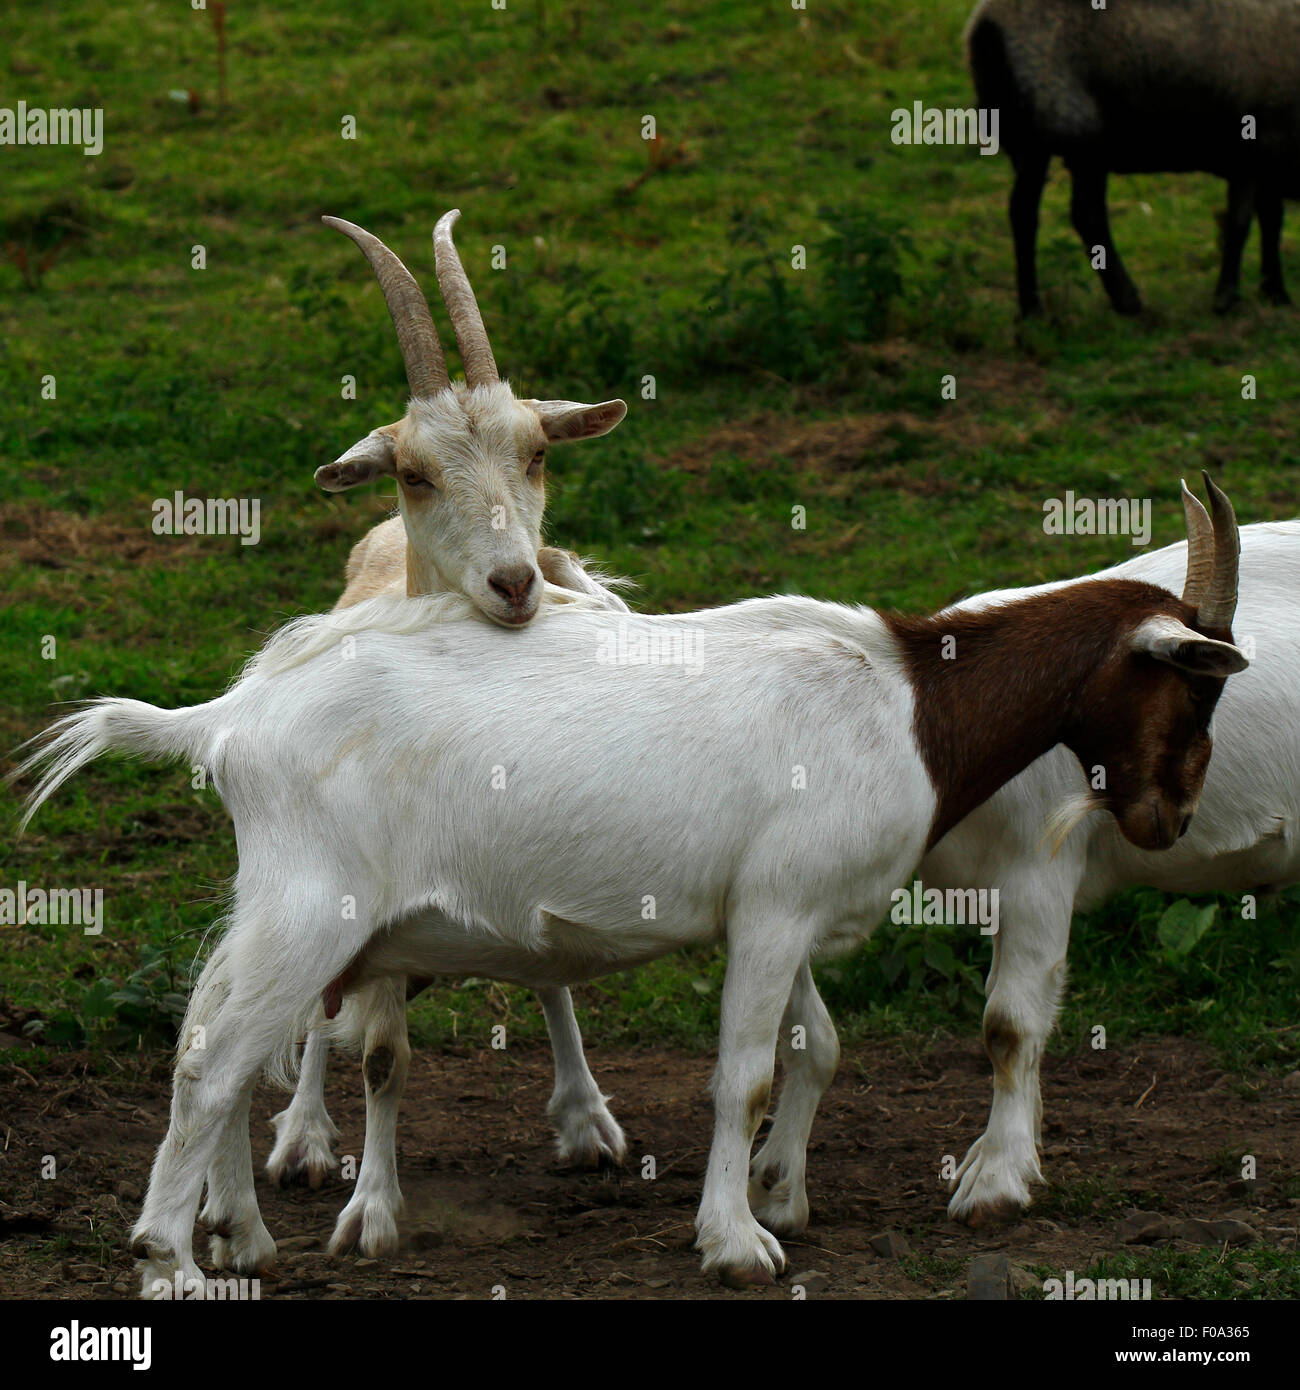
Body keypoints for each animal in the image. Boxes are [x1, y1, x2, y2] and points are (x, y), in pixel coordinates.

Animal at [17, 480, 1251, 1289]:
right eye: (1194, 689)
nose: (1168, 817)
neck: (912, 703)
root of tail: (230, 719)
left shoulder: (778, 908)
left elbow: (816, 1045)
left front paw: (780, 1193)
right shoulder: (777, 907)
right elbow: (742, 1075)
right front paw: (735, 1242)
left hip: (283, 903)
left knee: (209, 1029)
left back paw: (241, 1235)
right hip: (314, 907)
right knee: (213, 1057)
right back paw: (170, 1259)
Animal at [266, 208, 634, 1228]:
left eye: (539, 451)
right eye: (415, 473)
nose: (515, 582)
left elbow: (553, 969)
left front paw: (585, 1118)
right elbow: (381, 1055)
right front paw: (369, 1206)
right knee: (324, 1007)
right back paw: (302, 1137)